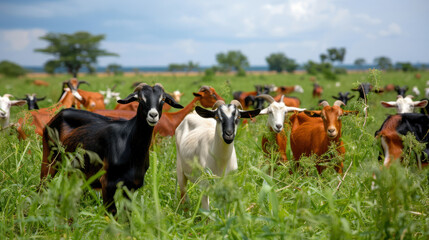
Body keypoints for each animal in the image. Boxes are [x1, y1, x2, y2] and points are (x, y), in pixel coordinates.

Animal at [41, 83, 185, 213]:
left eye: (162, 99)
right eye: (140, 99)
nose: (153, 115)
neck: (128, 141)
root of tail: (59, 114)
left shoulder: (131, 187)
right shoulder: (107, 183)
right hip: (49, 161)